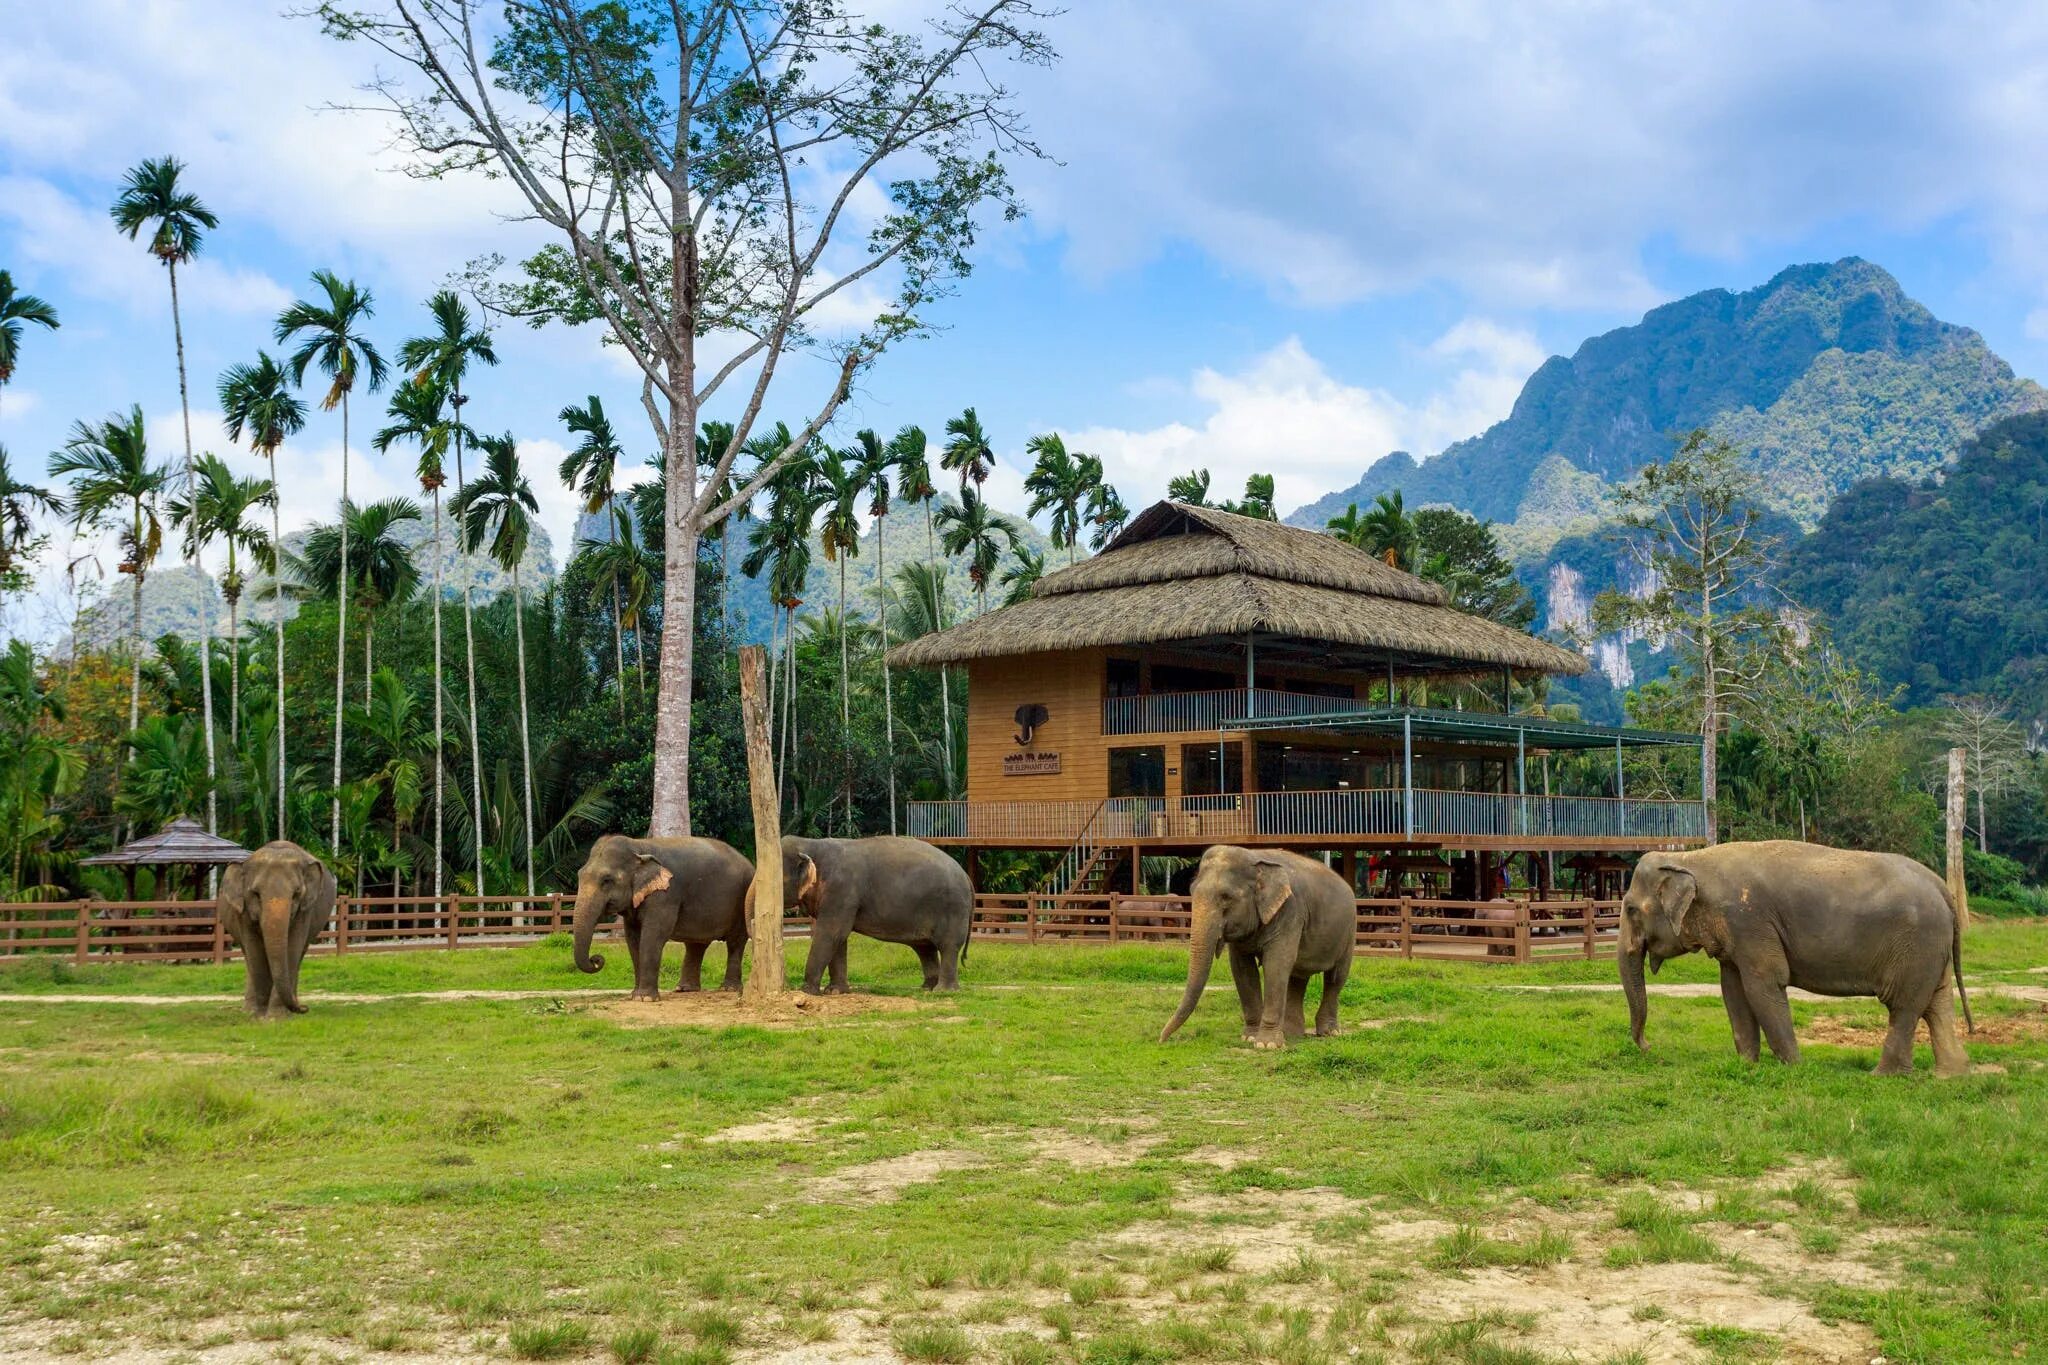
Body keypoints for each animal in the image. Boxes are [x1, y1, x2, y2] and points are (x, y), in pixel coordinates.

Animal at [216, 839, 335, 1019]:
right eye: (256, 894)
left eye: (296, 893)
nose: (305, 1008)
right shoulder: (243, 911)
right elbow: (255, 951)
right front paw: (259, 1016)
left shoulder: (305, 911)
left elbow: (292, 949)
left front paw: (276, 1017)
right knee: (248, 957)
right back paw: (249, 1010)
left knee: (299, 955)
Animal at [573, 834, 757, 1002]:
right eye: (579, 875)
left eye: (607, 880)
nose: (596, 959)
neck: (639, 846)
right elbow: (633, 939)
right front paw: (635, 995)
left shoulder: (666, 895)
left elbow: (653, 936)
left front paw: (645, 998)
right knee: (696, 945)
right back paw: (685, 989)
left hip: (740, 904)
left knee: (735, 943)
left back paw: (728, 989)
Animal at [770, 834, 970, 994]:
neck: (812, 844)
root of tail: (966, 876)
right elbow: (839, 938)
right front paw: (835, 991)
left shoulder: (842, 891)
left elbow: (832, 933)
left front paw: (807, 992)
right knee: (925, 948)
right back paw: (927, 988)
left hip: (953, 909)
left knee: (948, 946)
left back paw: (943, 991)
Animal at [1163, 847, 1351, 1055]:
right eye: (1191, 891)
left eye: (1226, 896)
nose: (1162, 1040)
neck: (1254, 857)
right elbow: (1243, 970)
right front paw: (1250, 1038)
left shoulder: (1290, 911)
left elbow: (1276, 964)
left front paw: (1267, 1045)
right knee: (1298, 978)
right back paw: (1291, 1033)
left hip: (1348, 933)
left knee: (1335, 978)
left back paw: (1329, 1033)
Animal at [1622, 843, 1974, 1080]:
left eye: (1630, 909)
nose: (1649, 1048)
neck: (1692, 858)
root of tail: (1943, 888)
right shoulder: (1736, 937)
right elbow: (1733, 991)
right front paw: (1747, 1066)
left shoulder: (1749, 921)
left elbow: (1763, 985)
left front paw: (1793, 1067)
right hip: (1930, 949)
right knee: (1937, 1003)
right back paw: (1951, 1075)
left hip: (1916, 945)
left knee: (1904, 1006)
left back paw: (1883, 1076)